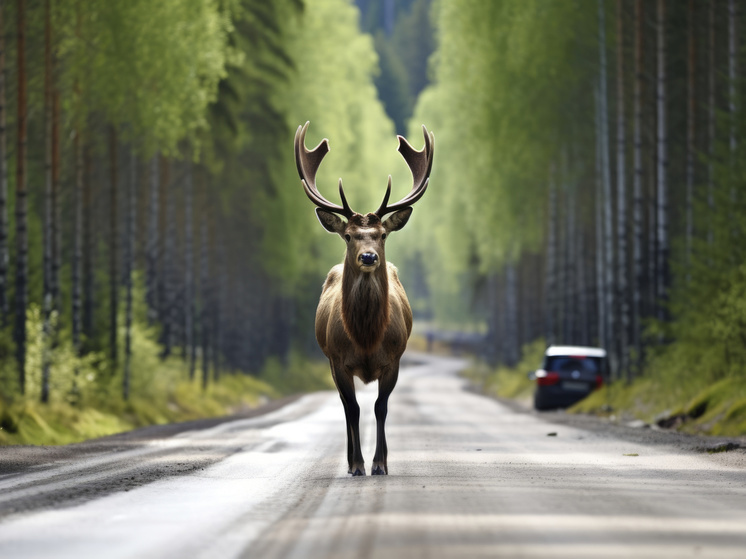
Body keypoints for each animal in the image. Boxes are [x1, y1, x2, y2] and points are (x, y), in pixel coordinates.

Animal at [290, 121, 430, 476]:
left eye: (382, 235)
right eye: (349, 236)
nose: (368, 257)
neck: (366, 338)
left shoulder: (394, 359)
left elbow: (381, 407)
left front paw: (381, 463)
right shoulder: (338, 360)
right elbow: (352, 408)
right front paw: (357, 464)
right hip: (329, 360)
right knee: (344, 406)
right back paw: (351, 458)